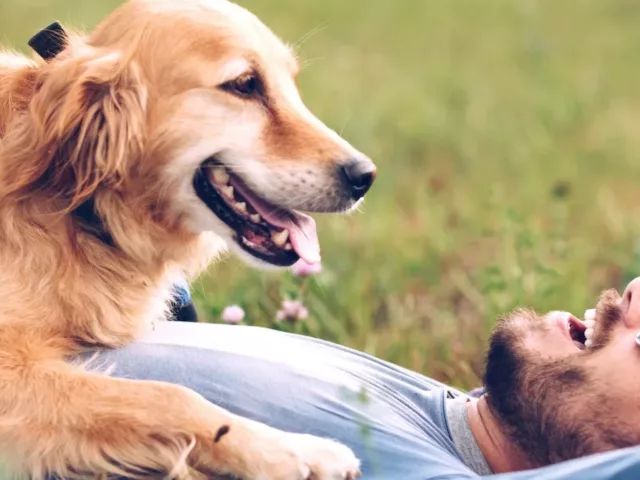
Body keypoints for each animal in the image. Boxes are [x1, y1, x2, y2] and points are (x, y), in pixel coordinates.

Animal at [0, 0, 376, 476]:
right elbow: (171, 395)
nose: (365, 176)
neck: (88, 213)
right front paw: (294, 451)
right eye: (244, 84)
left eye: (291, 83)